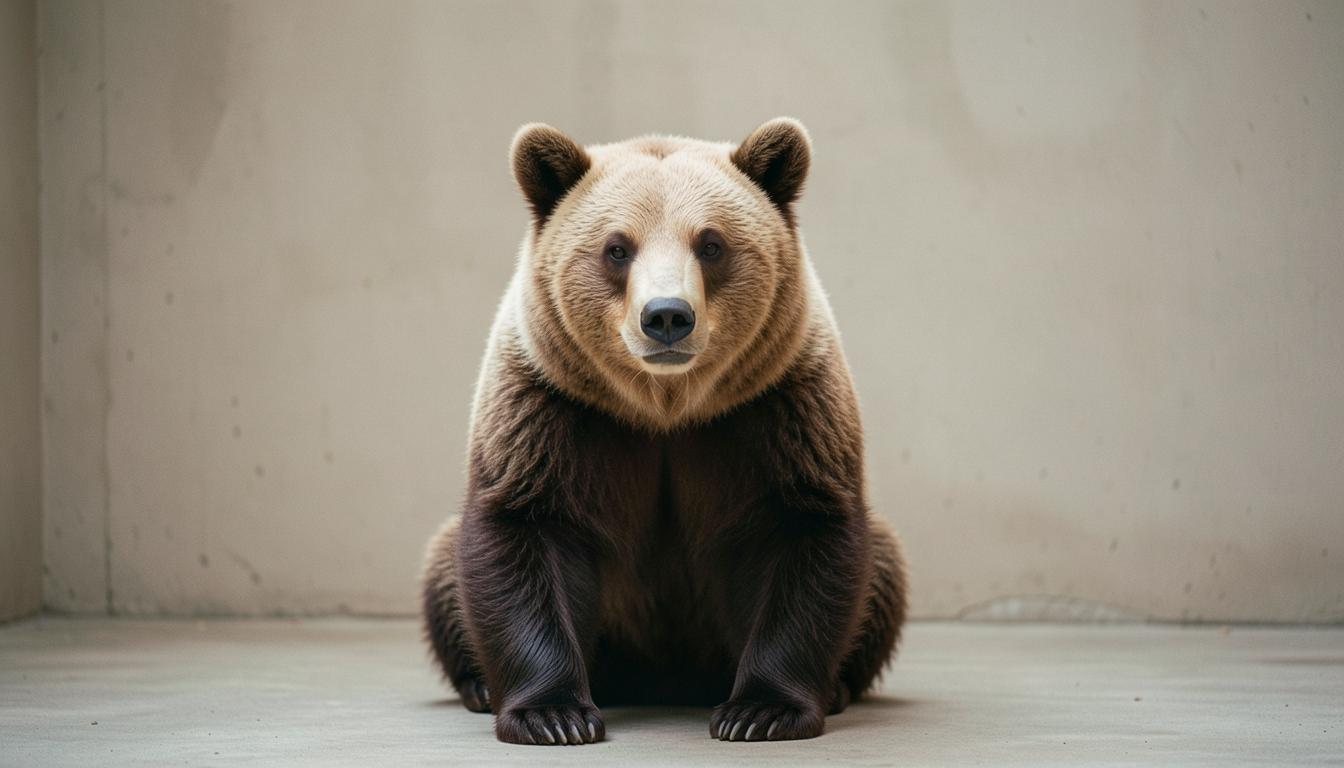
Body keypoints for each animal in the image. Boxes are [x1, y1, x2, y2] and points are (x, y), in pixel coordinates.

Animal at [421, 118, 908, 745]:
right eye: (617, 248)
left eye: (711, 243)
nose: (667, 316)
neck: (664, 410)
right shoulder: (552, 405)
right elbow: (522, 526)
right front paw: (552, 716)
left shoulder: (778, 405)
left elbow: (804, 530)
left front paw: (759, 712)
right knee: (442, 573)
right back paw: (480, 686)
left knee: (884, 569)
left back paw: (840, 687)